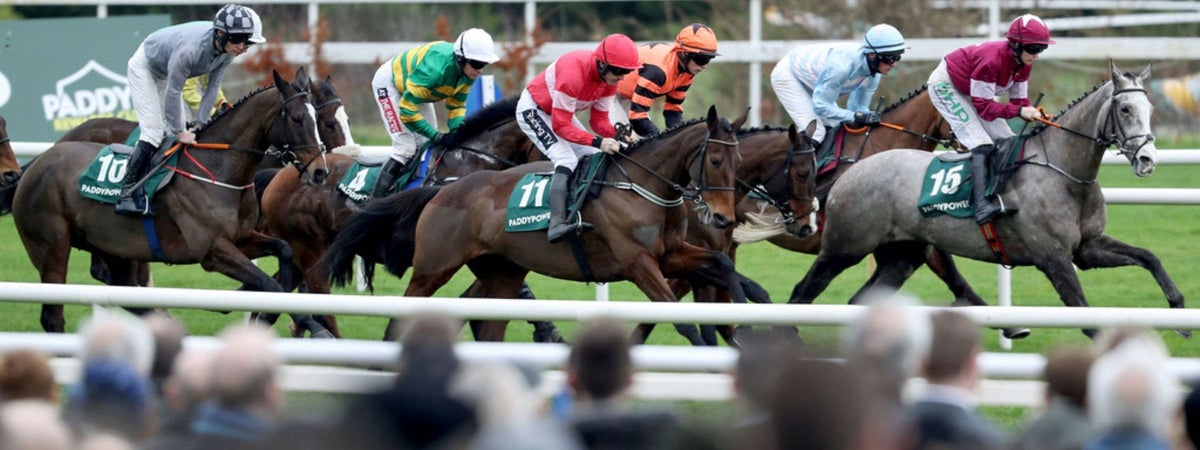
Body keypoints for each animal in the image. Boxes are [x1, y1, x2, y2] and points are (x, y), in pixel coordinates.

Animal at [15, 68, 333, 333]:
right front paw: (306, 323)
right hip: (52, 248)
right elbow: (269, 283)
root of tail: (35, 164)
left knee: (128, 296)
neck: (217, 170)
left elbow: (284, 251)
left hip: (113, 248)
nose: (320, 172)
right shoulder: (213, 250)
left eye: (317, 120)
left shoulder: (241, 237)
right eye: (297, 118)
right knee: (53, 316)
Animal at [324, 105, 744, 340]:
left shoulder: (670, 254)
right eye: (715, 160)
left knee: (489, 328)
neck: (641, 184)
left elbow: (722, 263)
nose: (723, 217)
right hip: (433, 267)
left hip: (502, 275)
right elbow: (682, 320)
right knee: (400, 319)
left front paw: (742, 323)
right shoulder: (637, 263)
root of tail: (442, 190)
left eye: (738, 162)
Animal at [787, 61, 1180, 340]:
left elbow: (1149, 257)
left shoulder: (1086, 249)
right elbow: (1089, 321)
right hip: (844, 248)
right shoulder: (1053, 259)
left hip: (902, 256)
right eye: (1125, 109)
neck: (1064, 172)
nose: (1148, 159)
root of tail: (850, 173)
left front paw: (1178, 312)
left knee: (858, 303)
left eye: (1149, 108)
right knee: (801, 292)